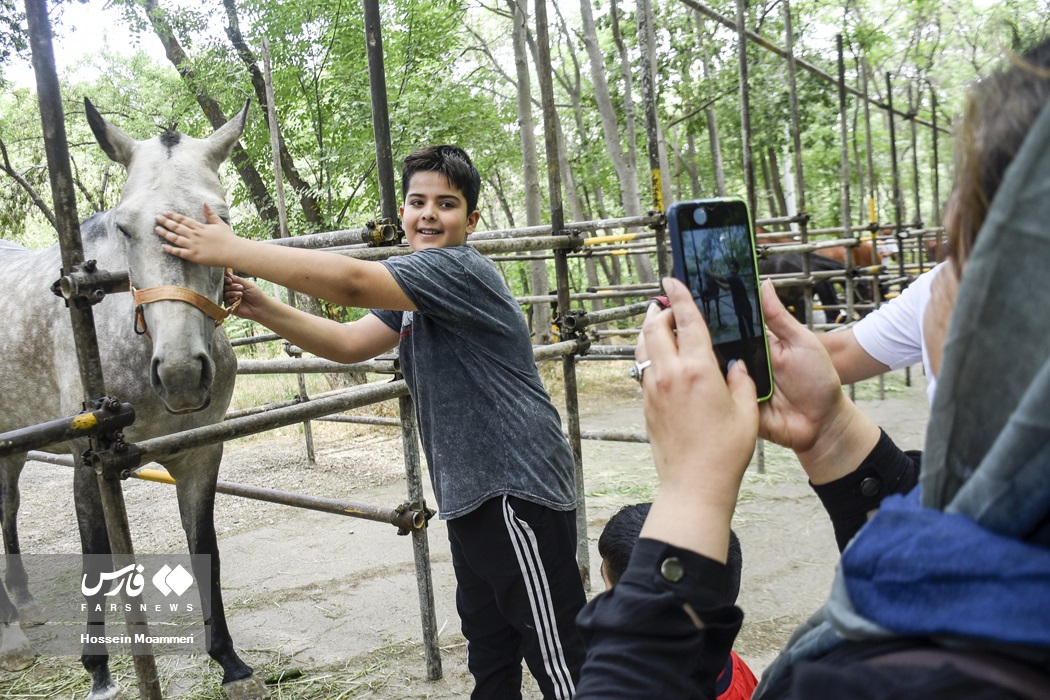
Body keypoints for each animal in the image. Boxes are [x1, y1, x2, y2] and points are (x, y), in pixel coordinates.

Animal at [0, 99, 268, 700]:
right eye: (124, 226)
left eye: (222, 219)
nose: (182, 374)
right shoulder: (88, 464)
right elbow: (96, 556)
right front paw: (98, 671)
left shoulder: (200, 454)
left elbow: (204, 547)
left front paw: (229, 661)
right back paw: (11, 637)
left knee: (7, 507)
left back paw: (23, 606)